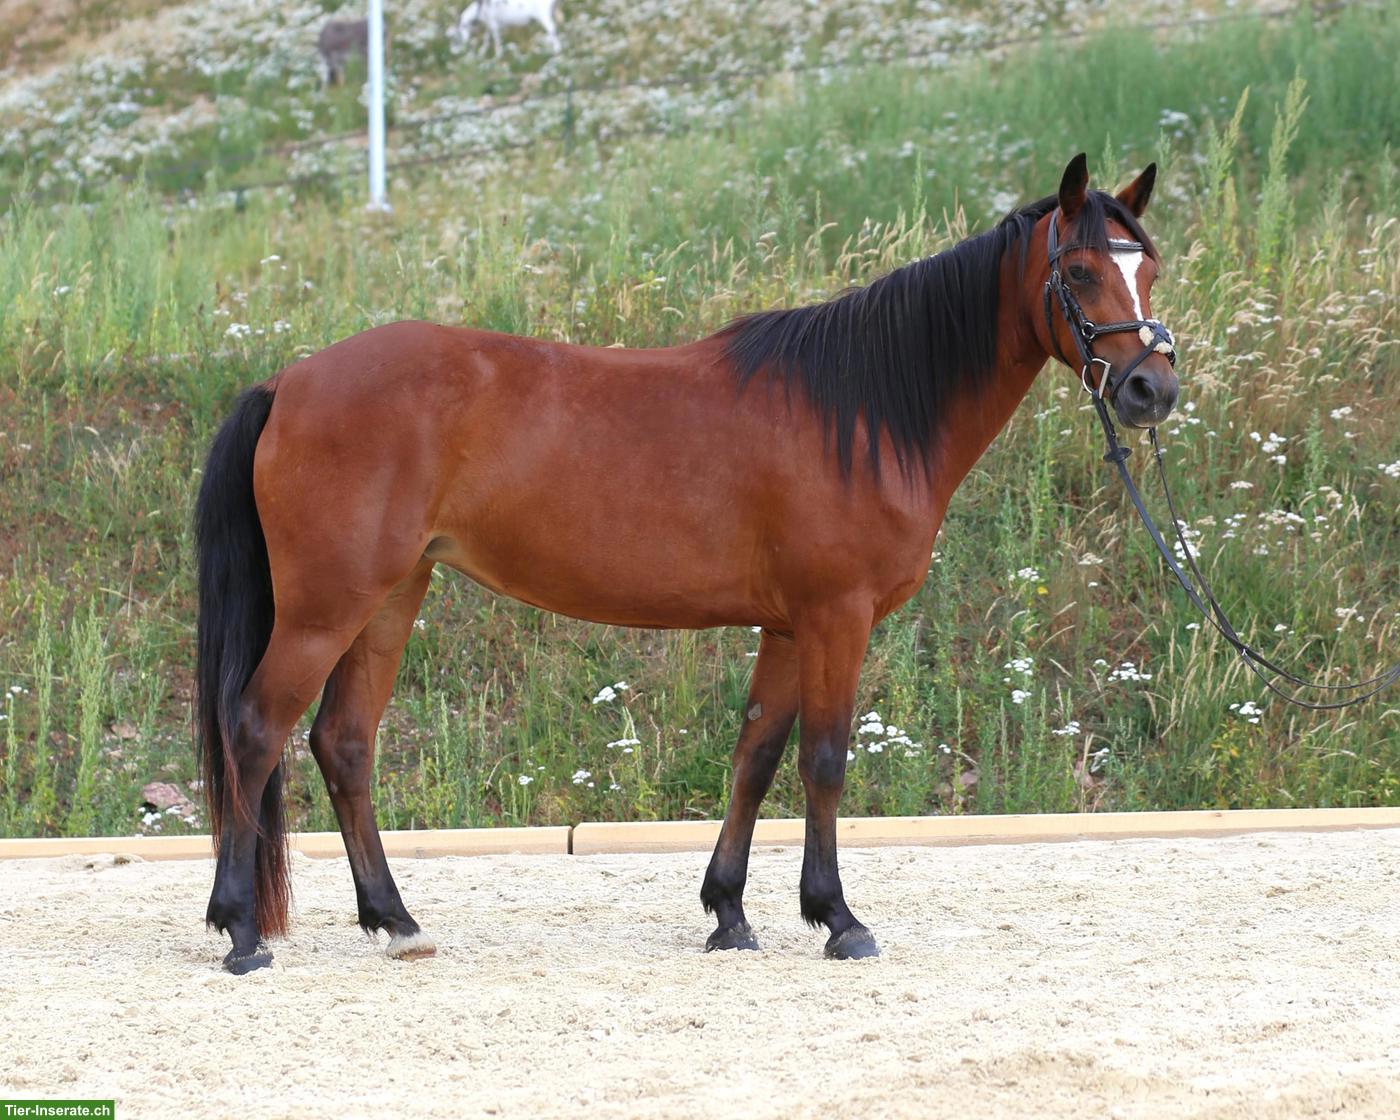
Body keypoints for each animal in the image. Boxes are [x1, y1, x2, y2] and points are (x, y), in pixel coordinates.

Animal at [195, 154, 1178, 973]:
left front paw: (730, 913)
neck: (861, 411)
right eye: (1079, 272)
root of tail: (290, 381)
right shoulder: (837, 617)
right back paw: (241, 930)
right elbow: (824, 758)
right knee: (255, 728)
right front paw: (839, 918)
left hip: (393, 595)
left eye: (1151, 268)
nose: (1151, 389)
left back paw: (394, 920)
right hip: (328, 606)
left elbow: (756, 755)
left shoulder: (788, 625)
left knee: (342, 742)